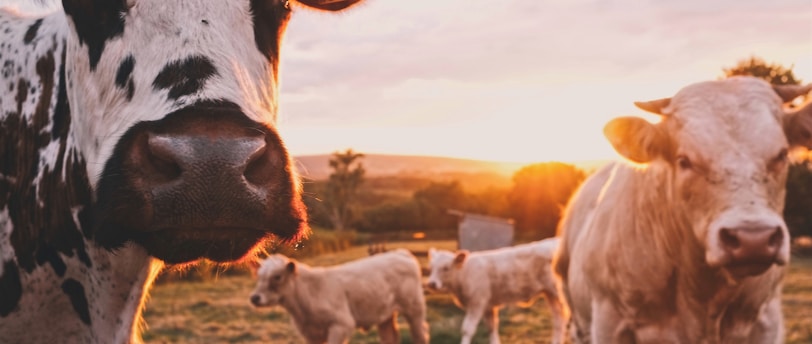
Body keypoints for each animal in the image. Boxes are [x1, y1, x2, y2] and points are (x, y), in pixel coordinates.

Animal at [249, 250, 432, 344]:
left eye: (277, 276)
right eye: (259, 275)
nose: (255, 298)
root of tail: (400, 253)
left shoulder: (341, 324)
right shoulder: (310, 334)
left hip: (414, 309)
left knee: (420, 333)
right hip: (385, 315)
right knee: (390, 337)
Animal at [426, 238, 564, 344]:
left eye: (446, 268)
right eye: (431, 267)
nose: (431, 284)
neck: (465, 273)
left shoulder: (477, 303)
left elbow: (467, 329)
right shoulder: (488, 306)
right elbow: (491, 328)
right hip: (550, 294)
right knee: (558, 318)